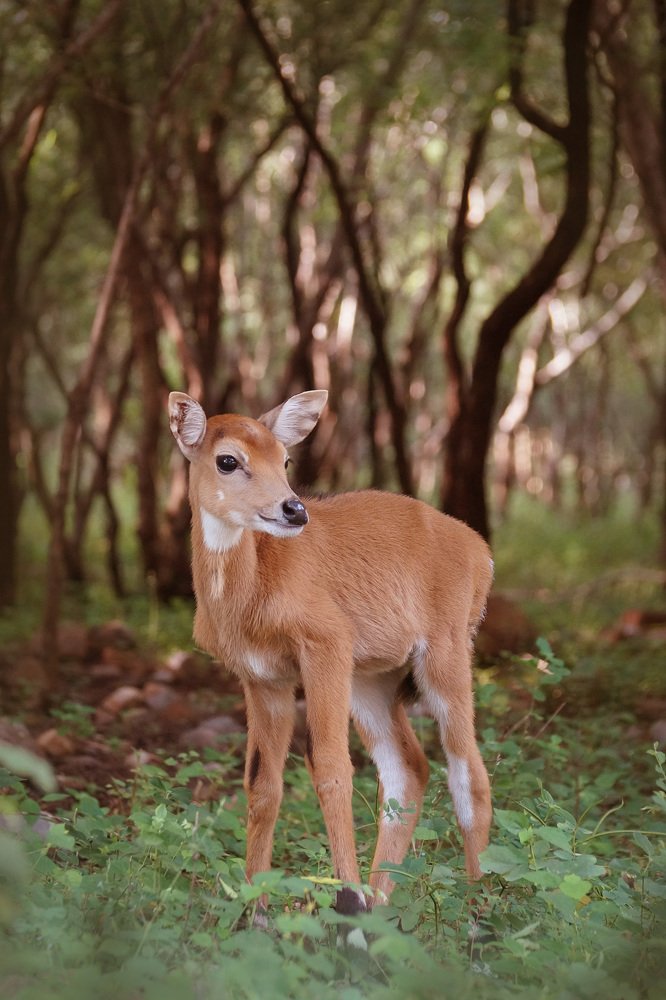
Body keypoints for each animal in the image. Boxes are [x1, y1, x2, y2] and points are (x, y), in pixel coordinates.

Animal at [168, 388, 493, 916]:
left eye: (285, 458)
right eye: (228, 460)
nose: (293, 510)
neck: (251, 595)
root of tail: (482, 552)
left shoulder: (326, 644)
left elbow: (332, 769)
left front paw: (346, 902)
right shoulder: (262, 678)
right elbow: (262, 784)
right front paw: (255, 912)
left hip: (446, 652)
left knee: (469, 775)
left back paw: (475, 914)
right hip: (372, 679)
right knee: (408, 770)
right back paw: (382, 908)